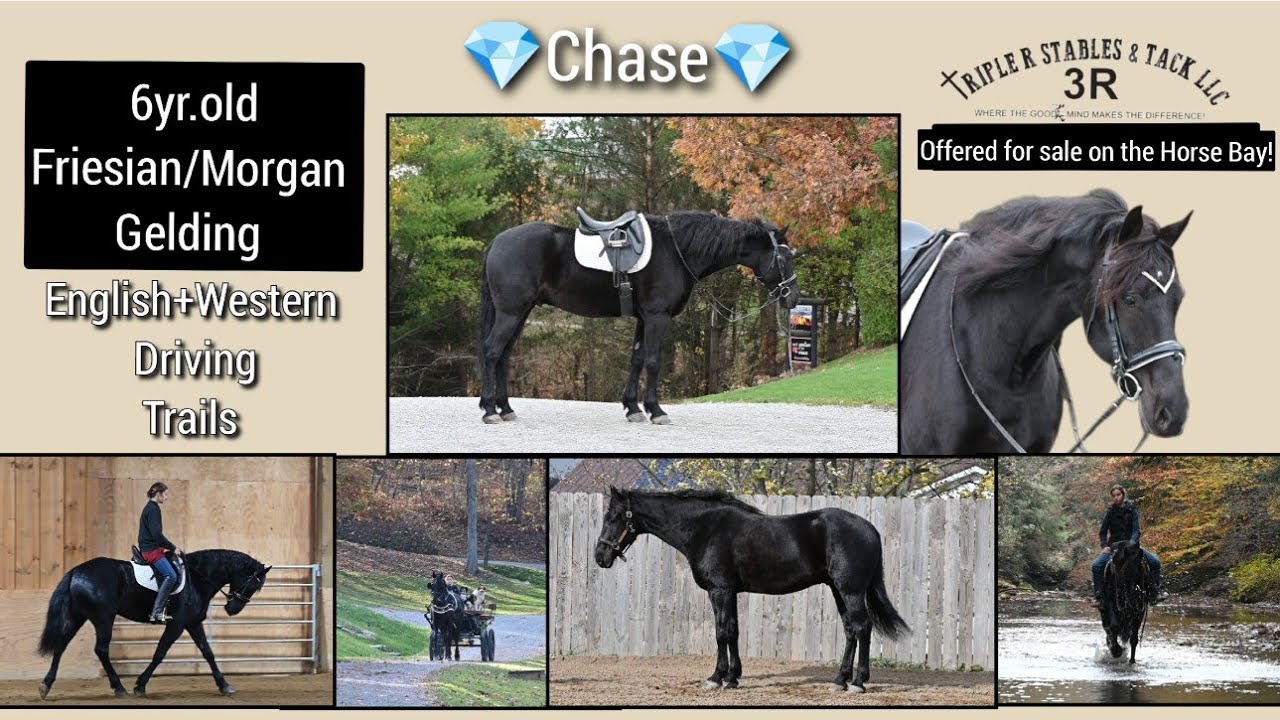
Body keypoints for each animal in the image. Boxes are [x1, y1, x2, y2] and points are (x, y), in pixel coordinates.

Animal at [36, 549, 271, 699]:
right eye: (253, 584)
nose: (233, 610)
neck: (197, 579)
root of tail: (76, 571)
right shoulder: (177, 625)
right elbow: (160, 653)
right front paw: (140, 686)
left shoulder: (193, 623)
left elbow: (208, 653)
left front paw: (224, 685)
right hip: (103, 619)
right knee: (101, 650)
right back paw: (119, 688)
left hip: (77, 617)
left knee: (60, 646)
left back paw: (46, 685)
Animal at [478, 211, 799, 424]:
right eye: (784, 257)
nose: (793, 298)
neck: (676, 251)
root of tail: (497, 241)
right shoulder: (658, 317)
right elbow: (653, 361)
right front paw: (656, 410)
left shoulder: (644, 319)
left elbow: (636, 359)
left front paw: (633, 409)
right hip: (511, 312)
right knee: (492, 351)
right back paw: (491, 411)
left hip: (522, 312)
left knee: (503, 355)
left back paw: (505, 409)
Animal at [593, 487, 909, 693]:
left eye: (614, 516)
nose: (600, 556)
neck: (705, 528)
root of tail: (870, 529)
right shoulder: (730, 591)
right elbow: (733, 630)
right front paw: (733, 678)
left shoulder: (719, 590)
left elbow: (721, 632)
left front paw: (716, 678)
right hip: (837, 590)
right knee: (850, 629)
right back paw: (840, 681)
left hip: (850, 590)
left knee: (862, 627)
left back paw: (858, 683)